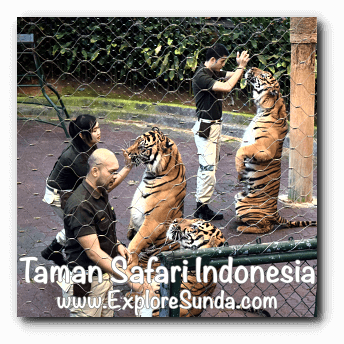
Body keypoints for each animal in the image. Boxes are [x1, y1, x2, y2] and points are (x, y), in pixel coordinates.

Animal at [125, 127, 224, 316]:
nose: (126, 153)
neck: (151, 174)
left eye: (142, 147)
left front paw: (129, 256)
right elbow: (132, 227)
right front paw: (129, 233)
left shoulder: (153, 220)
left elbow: (137, 241)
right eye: (135, 141)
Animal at [234, 67, 318, 234]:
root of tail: (275, 213)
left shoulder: (262, 148)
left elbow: (241, 151)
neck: (263, 108)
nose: (251, 68)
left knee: (266, 227)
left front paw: (239, 168)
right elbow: (241, 150)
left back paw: (242, 227)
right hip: (238, 196)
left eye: (263, 75)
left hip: (243, 205)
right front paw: (240, 173)